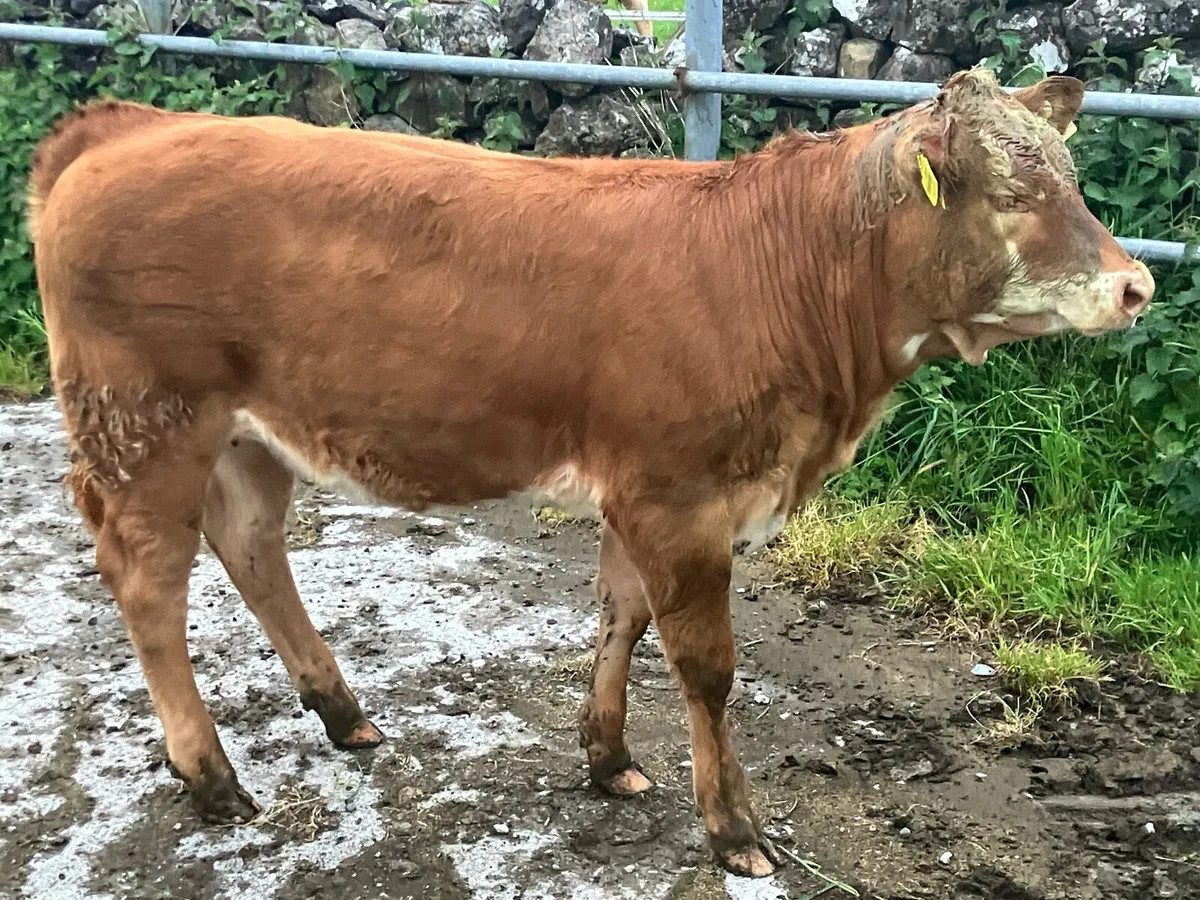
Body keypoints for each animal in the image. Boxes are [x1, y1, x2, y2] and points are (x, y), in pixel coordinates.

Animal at [27, 67, 1153, 878]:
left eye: (1074, 180)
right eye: (1012, 191)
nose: (1138, 284)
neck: (789, 269)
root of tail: (127, 127)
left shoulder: (644, 490)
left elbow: (621, 616)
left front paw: (608, 758)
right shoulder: (682, 496)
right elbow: (706, 666)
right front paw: (732, 827)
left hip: (249, 435)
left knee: (252, 548)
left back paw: (342, 713)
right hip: (146, 422)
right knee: (148, 582)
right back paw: (211, 777)